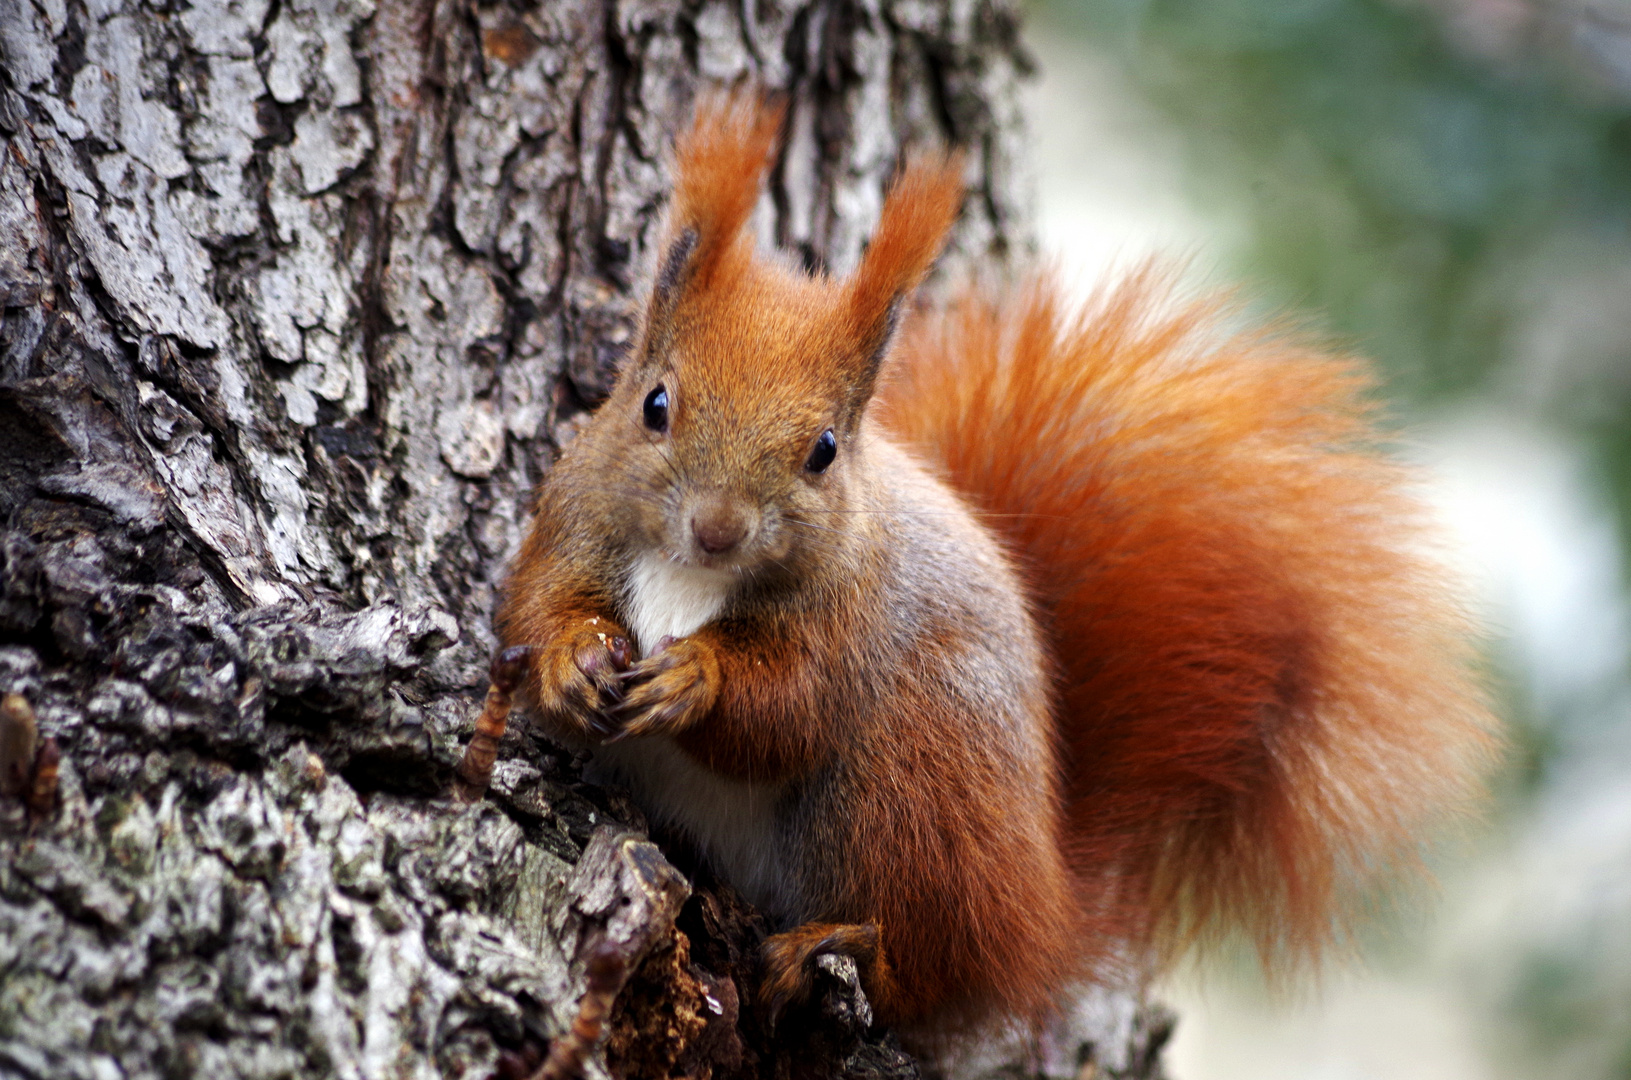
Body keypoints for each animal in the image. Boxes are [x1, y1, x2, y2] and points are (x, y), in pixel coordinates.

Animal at [499, 95, 1500, 1050]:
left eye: (824, 450)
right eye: (654, 404)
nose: (715, 529)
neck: (691, 578)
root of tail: (1044, 906)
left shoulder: (852, 622)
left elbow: (787, 713)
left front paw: (695, 678)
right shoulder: (569, 522)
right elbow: (535, 604)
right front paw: (572, 658)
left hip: (907, 795)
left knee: (927, 965)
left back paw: (844, 945)